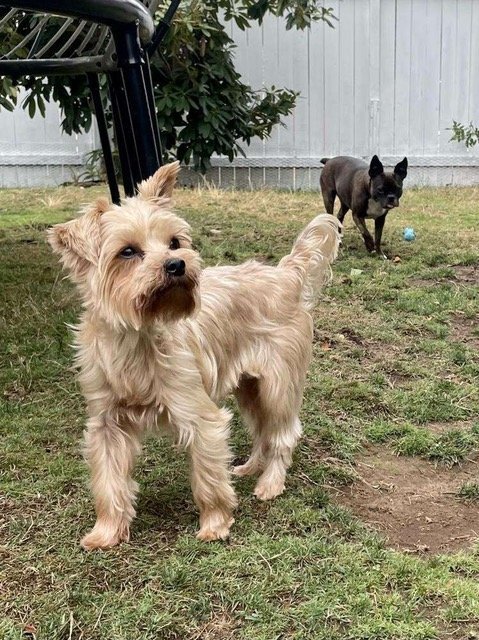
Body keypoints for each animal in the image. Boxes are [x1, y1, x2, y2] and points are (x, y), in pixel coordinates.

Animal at [47, 161, 342, 552]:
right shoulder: (106, 423)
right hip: (249, 387)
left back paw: (270, 483)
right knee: (261, 429)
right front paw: (106, 532)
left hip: (277, 384)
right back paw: (250, 467)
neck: (139, 335)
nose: (176, 265)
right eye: (127, 252)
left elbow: (208, 478)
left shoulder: (201, 417)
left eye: (174, 242)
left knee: (282, 432)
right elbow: (109, 481)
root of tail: (287, 274)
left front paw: (215, 524)